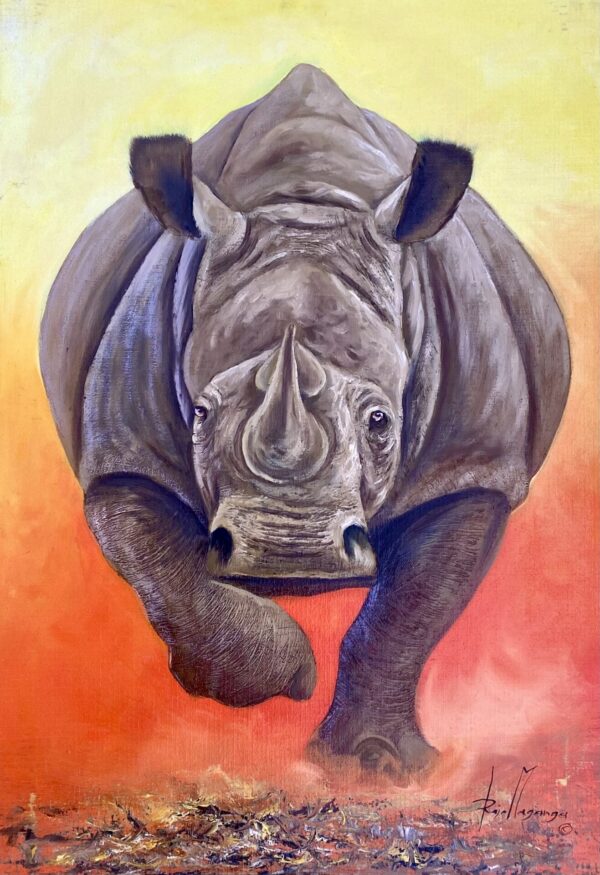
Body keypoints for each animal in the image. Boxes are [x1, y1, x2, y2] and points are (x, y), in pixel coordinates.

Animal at [40, 65, 570, 777]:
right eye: (199, 413)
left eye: (381, 422)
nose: (289, 555)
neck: (306, 200)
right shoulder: (124, 450)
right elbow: (171, 581)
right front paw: (292, 672)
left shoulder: (472, 465)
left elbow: (410, 612)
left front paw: (374, 766)